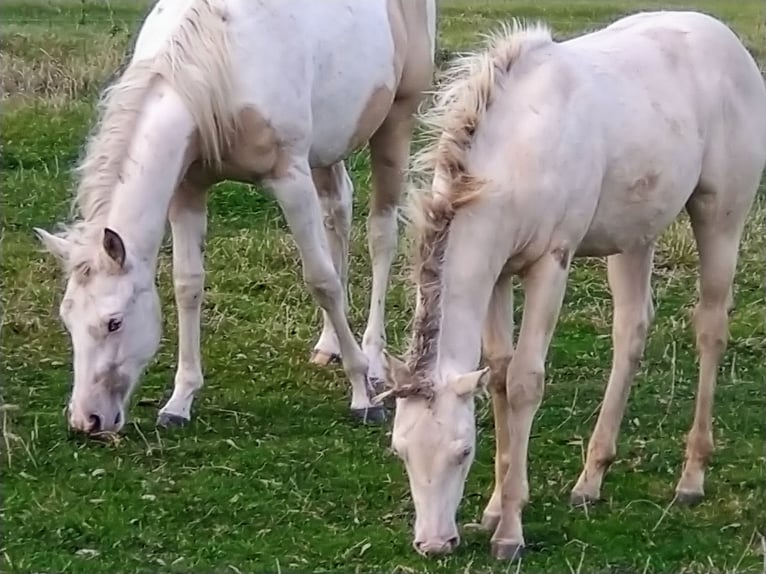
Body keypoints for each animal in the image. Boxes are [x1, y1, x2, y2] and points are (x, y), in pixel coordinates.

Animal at [34, 0, 438, 434]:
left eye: (115, 322)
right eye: (67, 319)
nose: (86, 421)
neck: (219, 61)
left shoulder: (290, 180)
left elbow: (321, 281)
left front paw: (362, 395)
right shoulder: (188, 188)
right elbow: (187, 285)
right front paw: (179, 401)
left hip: (395, 122)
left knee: (381, 234)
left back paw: (374, 358)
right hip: (329, 145)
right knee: (339, 211)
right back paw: (328, 344)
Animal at [378, 11, 766, 564]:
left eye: (463, 451)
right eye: (401, 450)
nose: (434, 544)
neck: (513, 152)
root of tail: (725, 38)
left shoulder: (550, 263)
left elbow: (525, 382)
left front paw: (510, 533)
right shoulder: (498, 271)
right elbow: (499, 375)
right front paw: (494, 508)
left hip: (721, 216)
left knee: (711, 328)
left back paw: (691, 478)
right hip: (635, 235)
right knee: (631, 333)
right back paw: (591, 478)